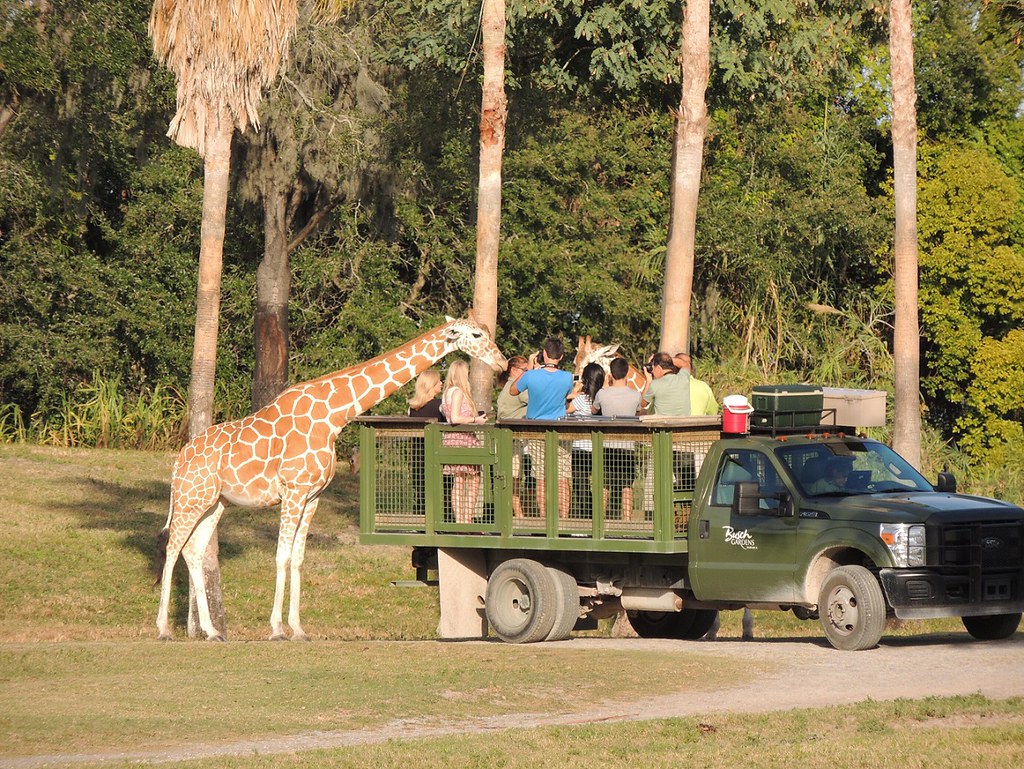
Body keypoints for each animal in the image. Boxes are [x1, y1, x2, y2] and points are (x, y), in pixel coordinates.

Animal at [155, 315, 506, 641]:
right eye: (476, 335)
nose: (502, 363)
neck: (333, 416)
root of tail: (179, 460)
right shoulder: (293, 491)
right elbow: (281, 556)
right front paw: (276, 629)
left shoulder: (312, 496)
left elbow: (298, 559)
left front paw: (298, 629)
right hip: (190, 498)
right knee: (172, 548)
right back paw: (163, 628)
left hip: (215, 502)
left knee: (194, 551)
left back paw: (211, 631)